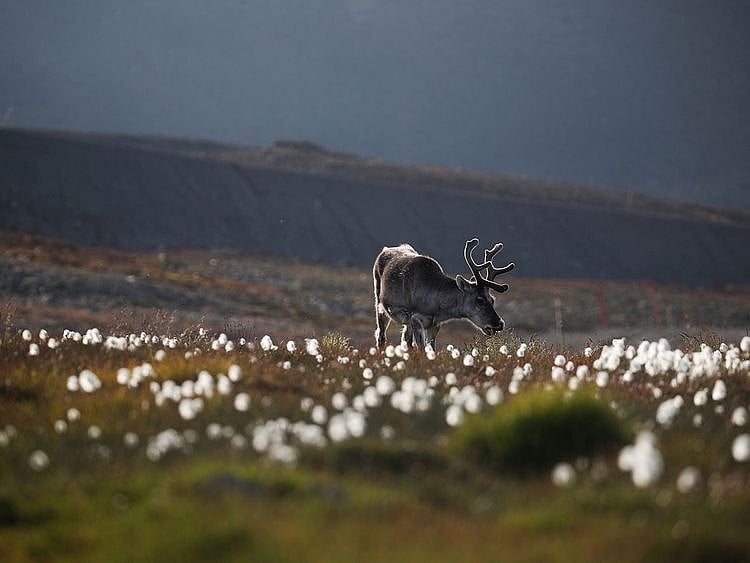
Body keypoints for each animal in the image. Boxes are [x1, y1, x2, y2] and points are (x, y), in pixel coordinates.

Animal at [372, 237, 515, 351]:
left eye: (492, 299)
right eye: (479, 300)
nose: (499, 323)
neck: (437, 306)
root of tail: (385, 249)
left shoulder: (434, 324)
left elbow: (431, 349)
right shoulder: (415, 318)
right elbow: (422, 349)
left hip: (406, 322)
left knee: (406, 339)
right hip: (380, 305)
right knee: (381, 335)